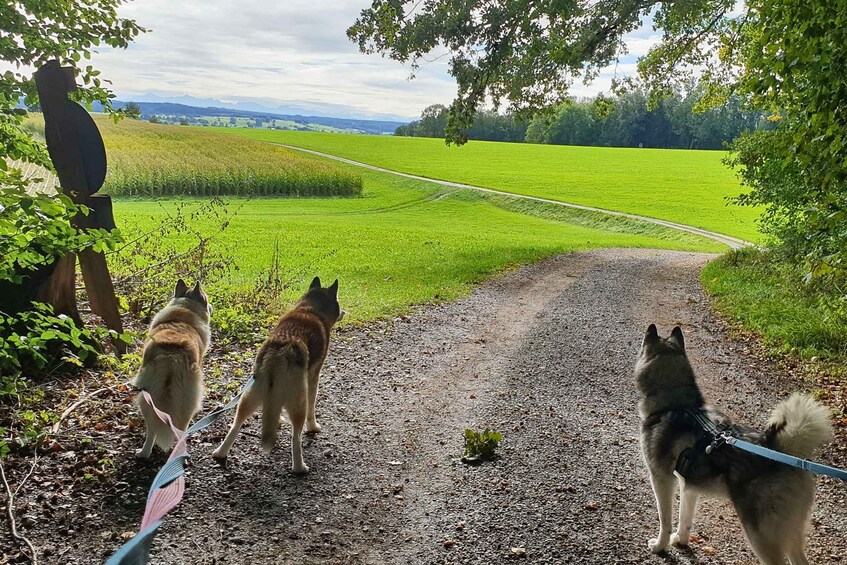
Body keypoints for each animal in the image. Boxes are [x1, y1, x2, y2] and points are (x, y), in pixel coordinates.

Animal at [134, 278, 212, 458]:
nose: (211, 306)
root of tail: (171, 356)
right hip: (189, 403)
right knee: (180, 431)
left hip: (147, 398)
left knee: (152, 429)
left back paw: (144, 453)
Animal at [212, 276, 344, 472]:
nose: (344, 311)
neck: (310, 309)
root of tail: (278, 354)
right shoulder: (313, 378)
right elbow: (312, 409)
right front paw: (313, 427)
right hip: (298, 403)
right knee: (295, 437)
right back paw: (300, 467)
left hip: (248, 398)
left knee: (235, 425)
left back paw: (221, 452)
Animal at [640, 324, 832, 560]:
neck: (676, 404)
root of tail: (780, 448)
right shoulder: (688, 486)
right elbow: (685, 518)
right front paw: (681, 540)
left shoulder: (662, 480)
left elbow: (665, 521)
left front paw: (660, 546)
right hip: (791, 532)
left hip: (762, 536)